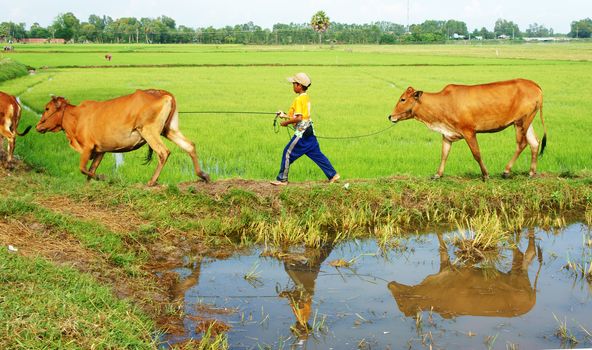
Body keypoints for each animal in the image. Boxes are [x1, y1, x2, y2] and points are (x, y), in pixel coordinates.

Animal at [35, 89, 210, 186]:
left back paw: (152, 181)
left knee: (163, 152)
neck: (76, 117)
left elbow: (83, 169)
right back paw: (203, 176)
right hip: (168, 130)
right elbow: (90, 171)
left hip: (148, 131)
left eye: (47, 108)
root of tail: (162, 93)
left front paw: (105, 178)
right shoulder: (101, 150)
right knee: (189, 145)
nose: (37, 126)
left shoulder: (88, 147)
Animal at [390, 78, 548, 179]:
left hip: (521, 122)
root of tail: (535, 85)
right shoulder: (447, 135)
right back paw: (531, 172)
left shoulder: (469, 132)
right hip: (527, 121)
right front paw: (438, 174)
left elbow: (476, 154)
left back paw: (507, 171)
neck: (443, 103)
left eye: (403, 99)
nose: (390, 116)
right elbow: (444, 154)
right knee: (534, 142)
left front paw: (485, 174)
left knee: (522, 144)